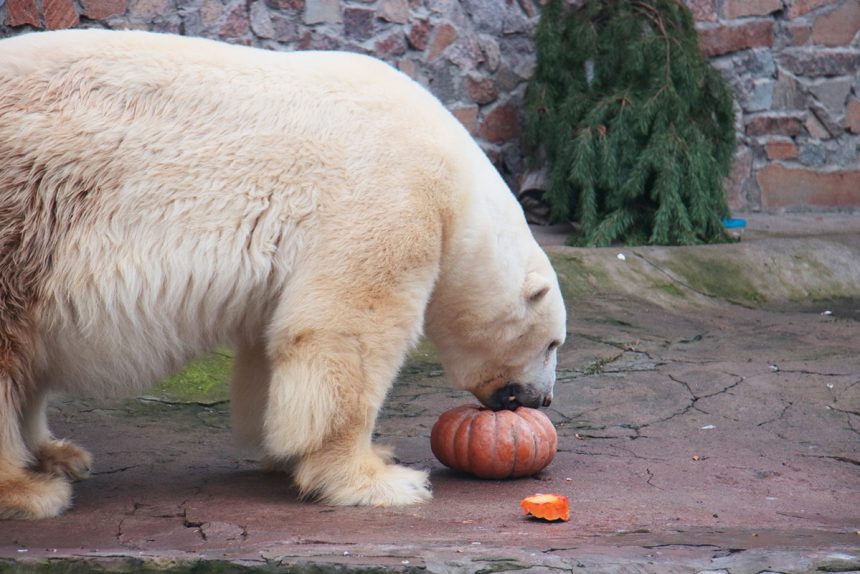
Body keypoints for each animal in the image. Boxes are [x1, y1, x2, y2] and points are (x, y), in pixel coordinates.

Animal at [0, 29, 568, 520]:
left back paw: (58, 454)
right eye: (553, 344)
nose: (542, 399)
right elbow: (347, 333)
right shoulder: (388, 191)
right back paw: (29, 489)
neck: (457, 181)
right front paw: (380, 478)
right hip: (28, 205)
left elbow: (273, 350)